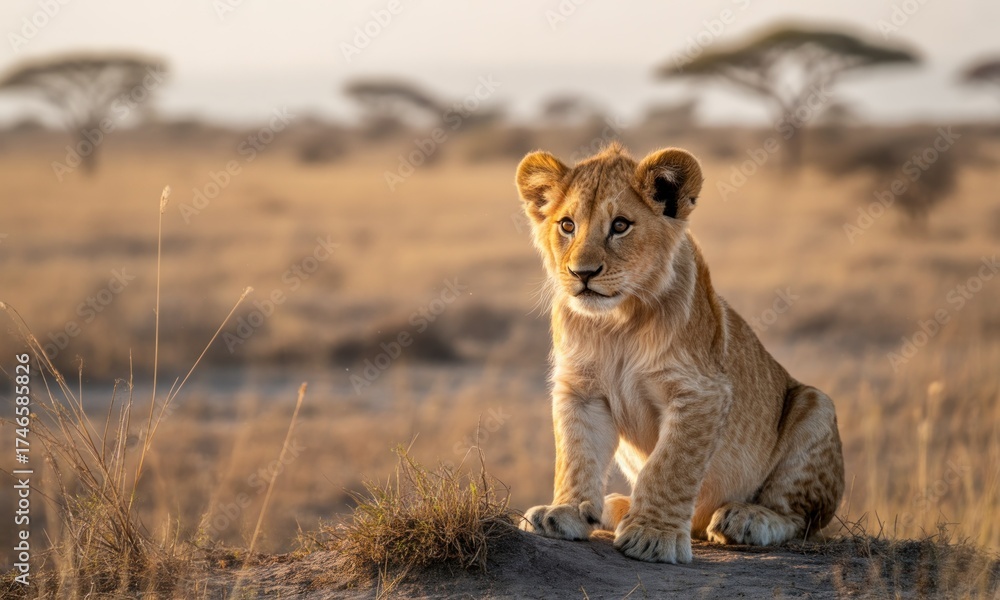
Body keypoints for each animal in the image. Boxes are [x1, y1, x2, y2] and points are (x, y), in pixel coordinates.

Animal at [514, 142, 844, 564]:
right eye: (567, 225)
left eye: (620, 225)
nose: (581, 273)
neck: (617, 322)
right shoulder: (580, 390)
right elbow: (576, 453)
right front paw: (565, 513)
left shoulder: (701, 392)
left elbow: (670, 466)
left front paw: (653, 536)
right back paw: (614, 507)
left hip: (817, 405)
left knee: (800, 519)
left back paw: (745, 519)